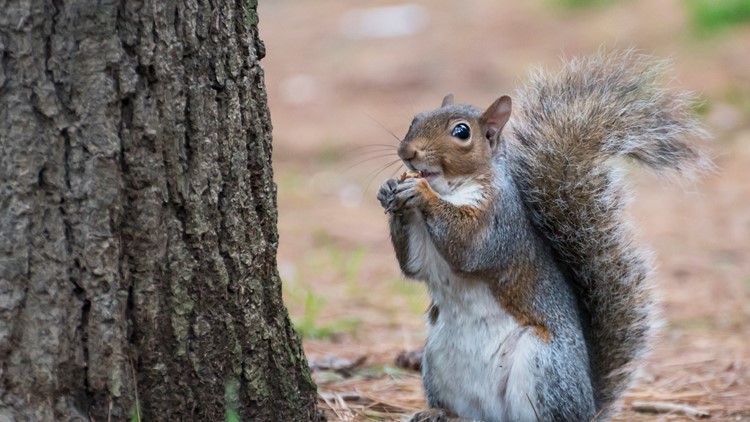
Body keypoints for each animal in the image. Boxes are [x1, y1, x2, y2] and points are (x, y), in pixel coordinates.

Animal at [376, 51, 710, 422]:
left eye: (461, 132)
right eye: (415, 118)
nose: (408, 152)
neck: (450, 188)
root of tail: (589, 405)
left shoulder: (500, 221)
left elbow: (469, 246)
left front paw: (420, 192)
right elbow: (414, 265)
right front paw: (390, 190)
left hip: (543, 365)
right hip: (435, 360)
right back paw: (440, 413)